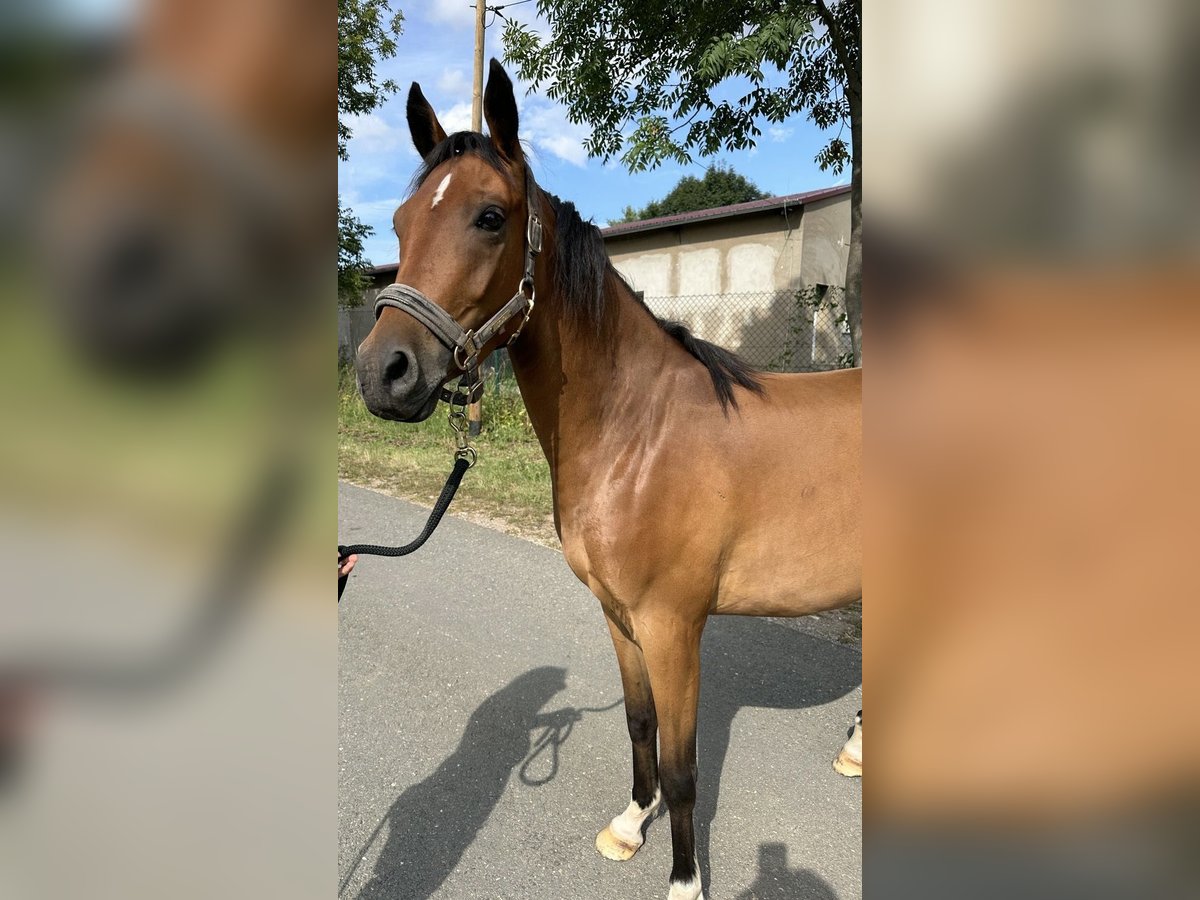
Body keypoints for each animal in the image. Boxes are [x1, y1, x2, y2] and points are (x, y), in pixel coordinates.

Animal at [355, 61, 864, 900]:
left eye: (489, 217)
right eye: (398, 223)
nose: (382, 373)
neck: (639, 433)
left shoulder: (673, 626)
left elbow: (685, 768)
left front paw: (685, 881)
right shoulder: (621, 618)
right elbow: (639, 725)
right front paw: (629, 825)